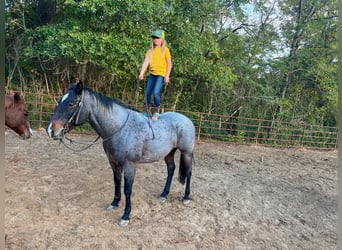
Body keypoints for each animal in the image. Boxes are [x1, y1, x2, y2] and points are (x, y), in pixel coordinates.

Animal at [46, 81, 195, 228]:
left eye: (71, 103)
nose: (51, 130)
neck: (119, 129)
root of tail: (187, 120)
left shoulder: (129, 166)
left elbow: (127, 189)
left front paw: (126, 216)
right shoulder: (113, 163)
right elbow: (117, 183)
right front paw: (114, 203)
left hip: (186, 153)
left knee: (188, 172)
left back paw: (186, 197)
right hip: (169, 153)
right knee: (171, 169)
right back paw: (164, 195)